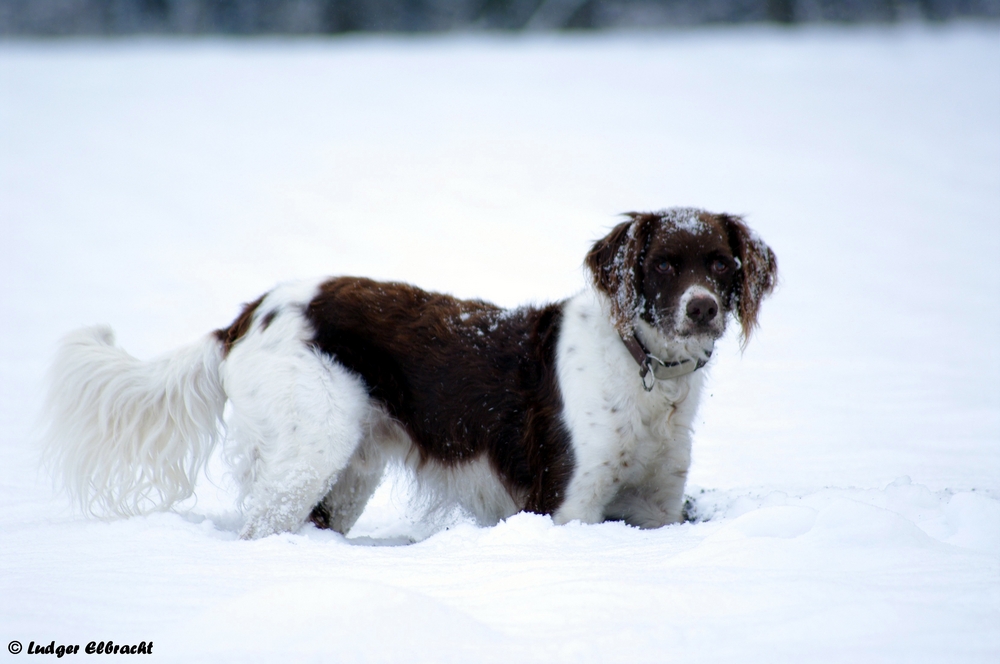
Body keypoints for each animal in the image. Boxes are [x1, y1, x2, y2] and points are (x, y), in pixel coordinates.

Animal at [45, 208, 780, 540]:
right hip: (313, 444)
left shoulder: (657, 508)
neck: (647, 371)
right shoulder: (566, 505)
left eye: (720, 263)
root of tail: (246, 315)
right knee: (260, 525)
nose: (704, 308)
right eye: (663, 264)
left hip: (350, 467)